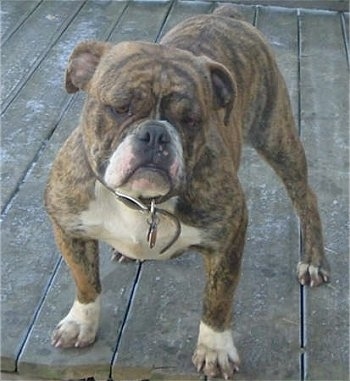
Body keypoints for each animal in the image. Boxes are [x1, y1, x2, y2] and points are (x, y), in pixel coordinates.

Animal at [45, 5, 330, 378]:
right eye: (120, 108)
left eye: (192, 119)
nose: (155, 133)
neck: (144, 202)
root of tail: (225, 14)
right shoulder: (69, 227)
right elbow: (85, 280)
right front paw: (81, 322)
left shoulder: (229, 237)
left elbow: (217, 300)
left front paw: (215, 349)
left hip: (277, 139)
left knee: (305, 198)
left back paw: (312, 260)